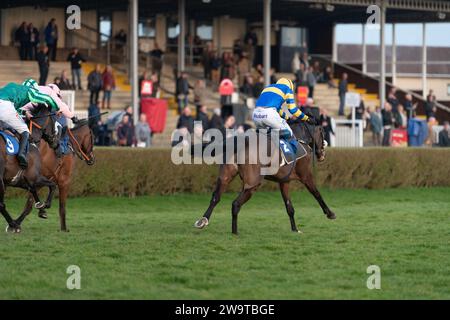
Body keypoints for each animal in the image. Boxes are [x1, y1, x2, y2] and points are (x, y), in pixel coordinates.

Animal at [195, 120, 336, 235]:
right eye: (323, 132)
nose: (323, 154)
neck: (299, 138)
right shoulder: (306, 175)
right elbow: (316, 193)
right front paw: (330, 213)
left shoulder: (284, 181)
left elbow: (289, 207)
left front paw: (295, 229)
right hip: (253, 183)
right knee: (235, 204)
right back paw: (235, 232)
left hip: (225, 176)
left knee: (216, 197)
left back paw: (203, 221)